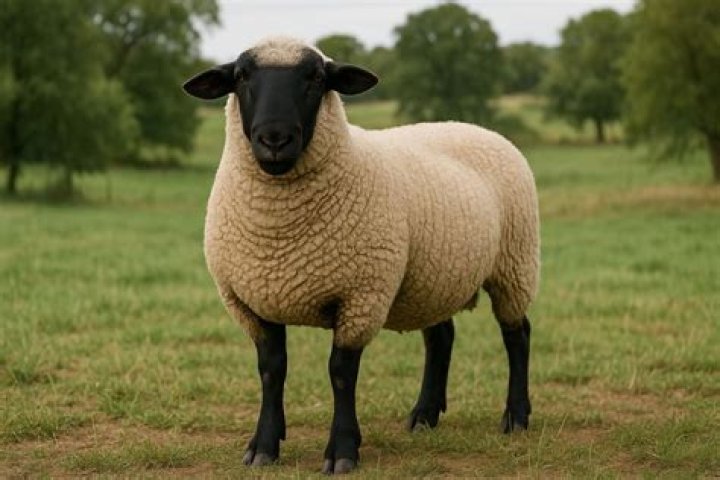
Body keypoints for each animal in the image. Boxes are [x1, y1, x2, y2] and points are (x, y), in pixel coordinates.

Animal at [183, 35, 539, 475]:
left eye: (316, 78)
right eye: (241, 76)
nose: (274, 139)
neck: (280, 236)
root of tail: (471, 126)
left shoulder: (360, 296)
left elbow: (340, 373)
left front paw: (342, 451)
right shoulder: (249, 300)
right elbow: (271, 370)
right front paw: (263, 446)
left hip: (514, 264)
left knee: (517, 334)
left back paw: (516, 416)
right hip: (432, 276)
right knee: (441, 338)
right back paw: (424, 415)